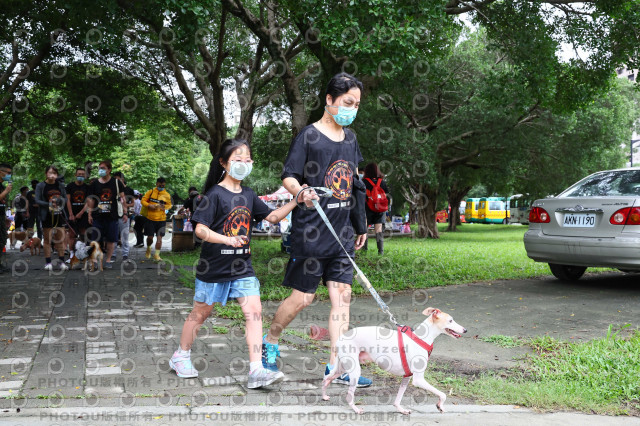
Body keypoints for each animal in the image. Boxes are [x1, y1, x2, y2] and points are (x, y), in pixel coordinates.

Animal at [322, 308, 468, 414]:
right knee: (348, 396)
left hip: (342, 366)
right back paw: (356, 409)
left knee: (326, 378)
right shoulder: (418, 380)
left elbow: (398, 399)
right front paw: (440, 406)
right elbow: (443, 394)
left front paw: (401, 410)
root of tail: (340, 339)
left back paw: (324, 396)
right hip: (354, 370)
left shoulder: (407, 377)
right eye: (450, 320)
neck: (420, 339)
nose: (465, 330)